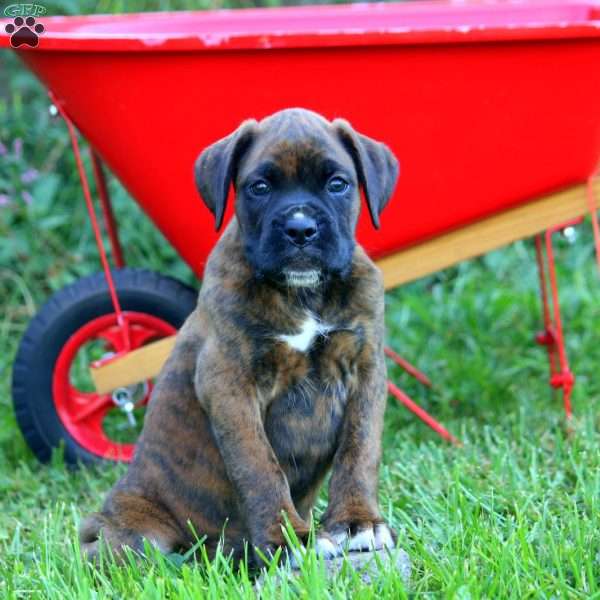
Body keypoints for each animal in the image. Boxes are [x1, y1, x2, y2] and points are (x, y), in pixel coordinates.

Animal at [79, 109, 398, 568]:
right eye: (259, 187)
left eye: (337, 183)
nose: (300, 229)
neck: (303, 293)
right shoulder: (229, 383)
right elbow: (259, 467)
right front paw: (288, 541)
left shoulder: (365, 370)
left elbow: (360, 451)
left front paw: (358, 524)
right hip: (135, 535)